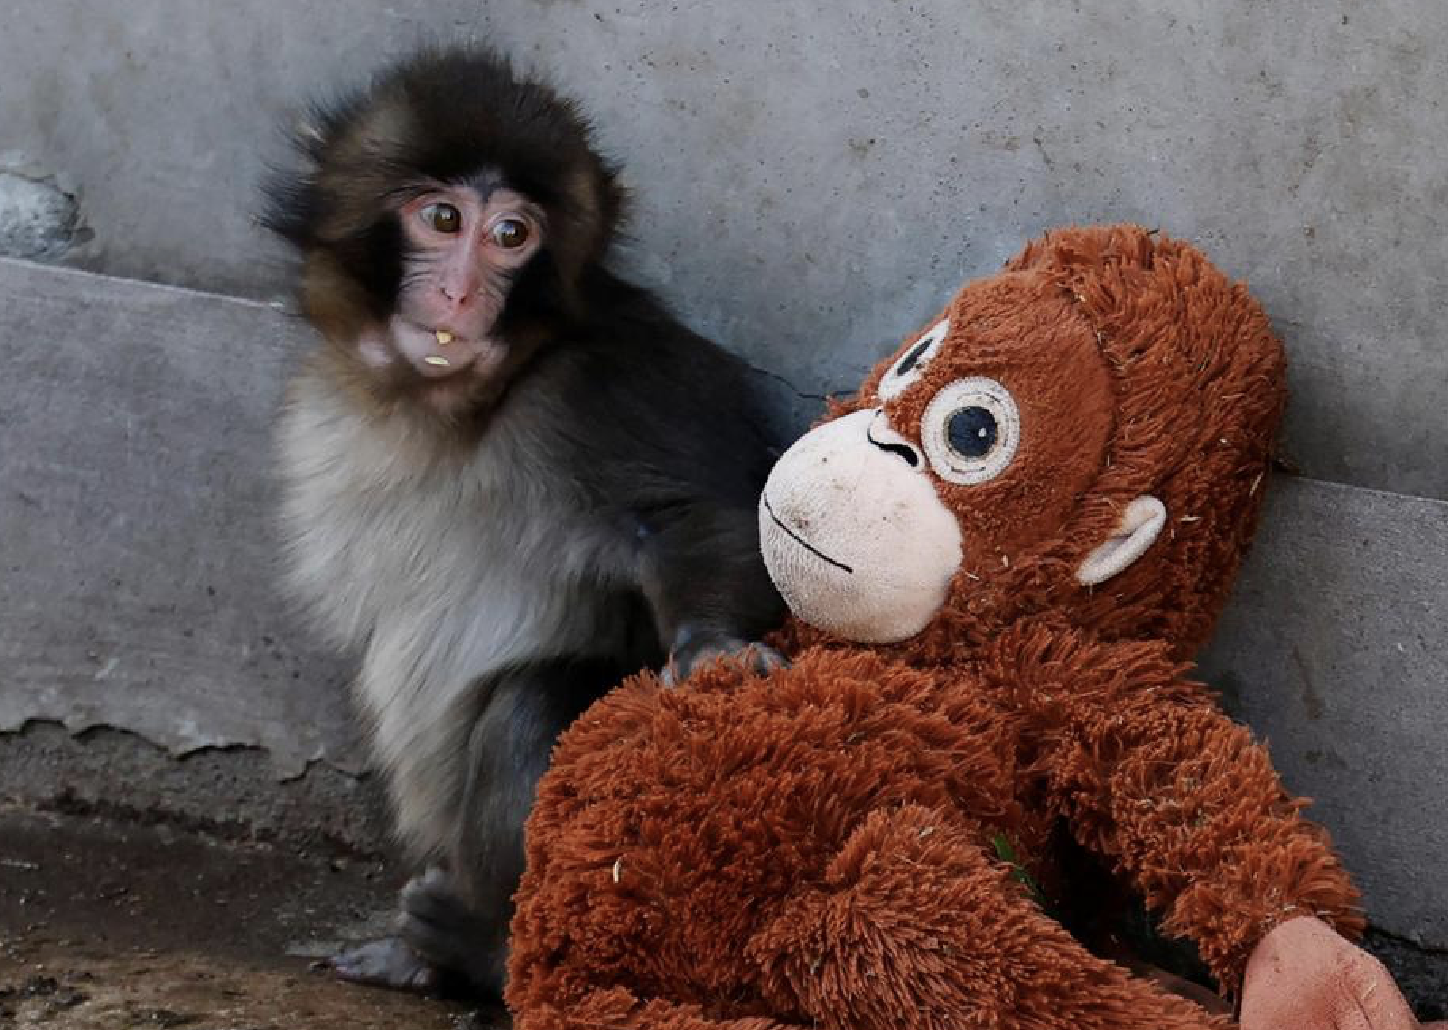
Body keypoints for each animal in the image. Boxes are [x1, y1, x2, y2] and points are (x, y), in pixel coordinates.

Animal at [260, 46, 788, 999]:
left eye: (513, 235)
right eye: (442, 218)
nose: (462, 290)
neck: (456, 406)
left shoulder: (605, 385)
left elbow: (695, 517)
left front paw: (714, 649)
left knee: (531, 705)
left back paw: (487, 951)